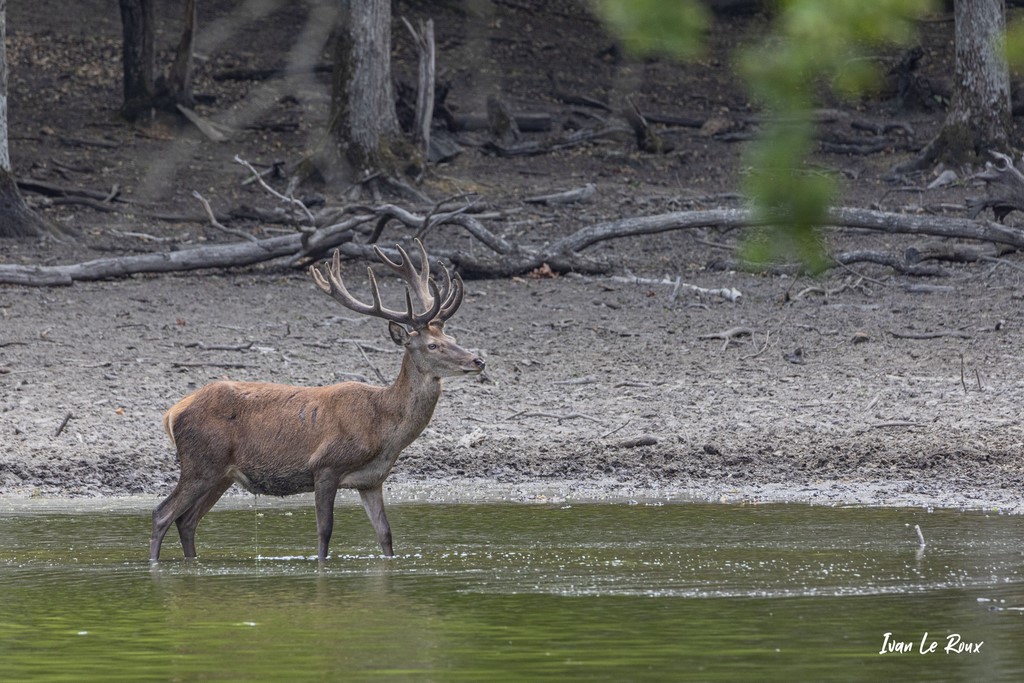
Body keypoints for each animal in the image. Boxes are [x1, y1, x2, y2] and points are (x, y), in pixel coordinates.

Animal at [149, 239, 485, 562]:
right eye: (432, 345)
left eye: (452, 339)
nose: (478, 360)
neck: (381, 427)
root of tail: (172, 412)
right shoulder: (325, 466)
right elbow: (324, 532)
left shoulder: (372, 480)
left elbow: (385, 535)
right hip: (200, 463)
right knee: (162, 514)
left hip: (221, 474)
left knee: (187, 521)